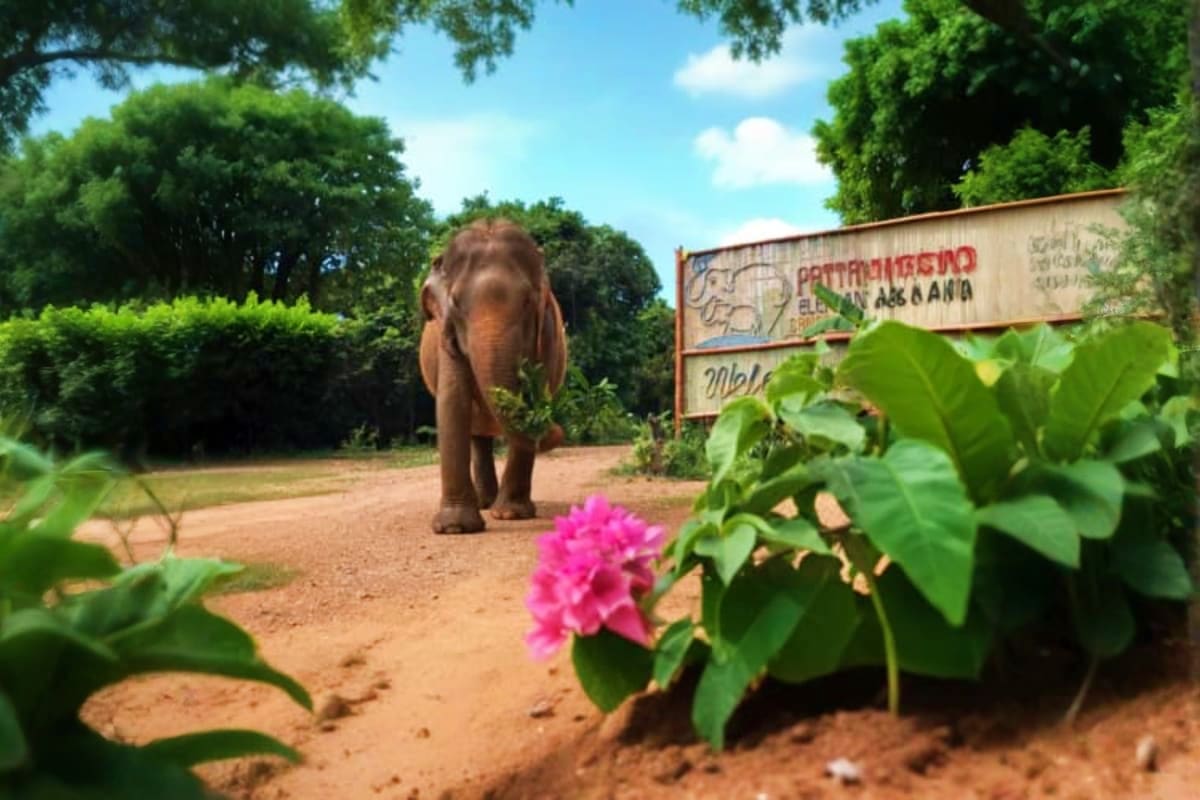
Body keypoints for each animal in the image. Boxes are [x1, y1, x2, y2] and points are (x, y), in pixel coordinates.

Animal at [418, 219, 568, 534]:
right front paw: (455, 529)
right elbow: (452, 400)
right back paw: (484, 503)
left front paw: (511, 515)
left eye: (527, 302)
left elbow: (537, 388)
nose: (554, 428)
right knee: (478, 435)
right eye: (455, 302)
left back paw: (495, 506)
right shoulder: (446, 334)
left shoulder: (547, 331)